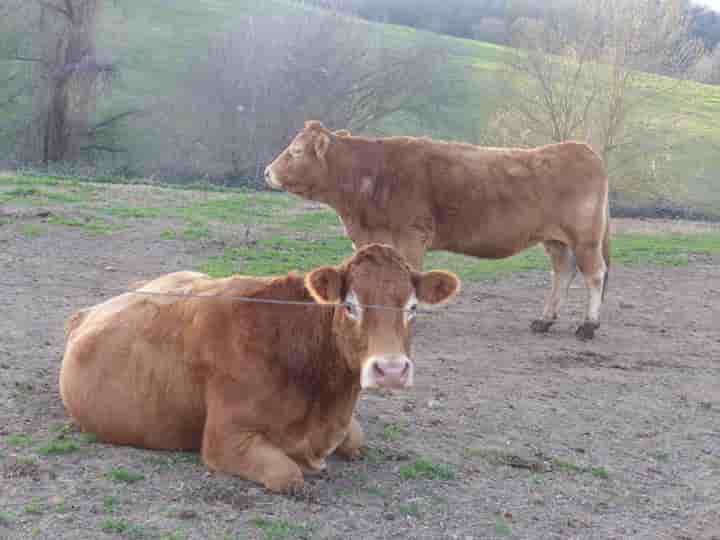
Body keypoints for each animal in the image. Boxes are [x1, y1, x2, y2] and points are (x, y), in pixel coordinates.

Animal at [60, 245, 456, 494]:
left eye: (413, 307)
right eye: (350, 305)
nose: (391, 369)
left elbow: (356, 439)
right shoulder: (223, 440)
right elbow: (288, 475)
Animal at [268, 123, 612, 342]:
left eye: (295, 151)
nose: (267, 171)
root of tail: (581, 150)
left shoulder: (411, 237)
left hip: (585, 238)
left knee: (595, 274)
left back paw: (589, 325)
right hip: (556, 240)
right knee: (563, 272)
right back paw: (545, 320)